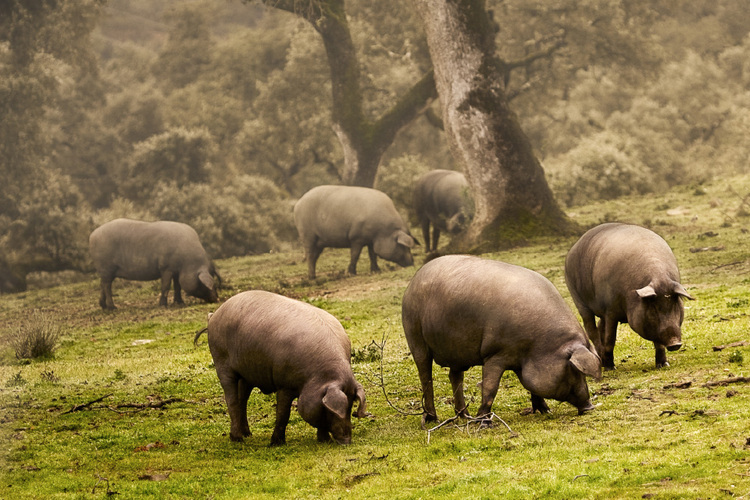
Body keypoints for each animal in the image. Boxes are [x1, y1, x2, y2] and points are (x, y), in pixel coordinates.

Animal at [90, 219, 220, 308]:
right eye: (204, 283)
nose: (217, 299)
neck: (187, 263)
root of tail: (92, 235)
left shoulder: (177, 271)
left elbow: (177, 286)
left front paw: (180, 303)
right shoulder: (166, 267)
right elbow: (166, 285)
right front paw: (163, 305)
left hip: (106, 271)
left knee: (103, 284)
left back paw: (104, 307)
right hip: (107, 267)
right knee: (107, 286)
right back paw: (113, 308)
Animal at [197, 290, 368, 446]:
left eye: (351, 406)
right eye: (335, 410)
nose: (347, 441)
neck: (315, 376)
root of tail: (214, 315)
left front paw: (324, 440)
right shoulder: (284, 385)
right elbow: (283, 414)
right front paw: (276, 443)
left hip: (247, 373)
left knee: (242, 399)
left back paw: (247, 434)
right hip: (221, 361)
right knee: (231, 399)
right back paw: (237, 439)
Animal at [402, 254, 604, 426]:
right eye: (573, 369)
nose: (590, 407)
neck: (538, 346)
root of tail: (414, 279)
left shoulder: (519, 361)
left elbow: (531, 386)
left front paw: (546, 411)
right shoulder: (496, 354)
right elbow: (491, 387)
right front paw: (484, 422)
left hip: (456, 351)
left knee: (454, 376)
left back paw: (464, 416)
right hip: (414, 335)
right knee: (425, 377)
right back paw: (432, 420)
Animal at [568, 222, 696, 368]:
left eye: (675, 304)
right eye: (654, 309)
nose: (675, 343)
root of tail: (575, 246)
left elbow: (658, 343)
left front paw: (664, 365)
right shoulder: (610, 310)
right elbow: (610, 338)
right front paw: (611, 367)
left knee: (600, 325)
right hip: (578, 298)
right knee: (591, 329)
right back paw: (603, 363)